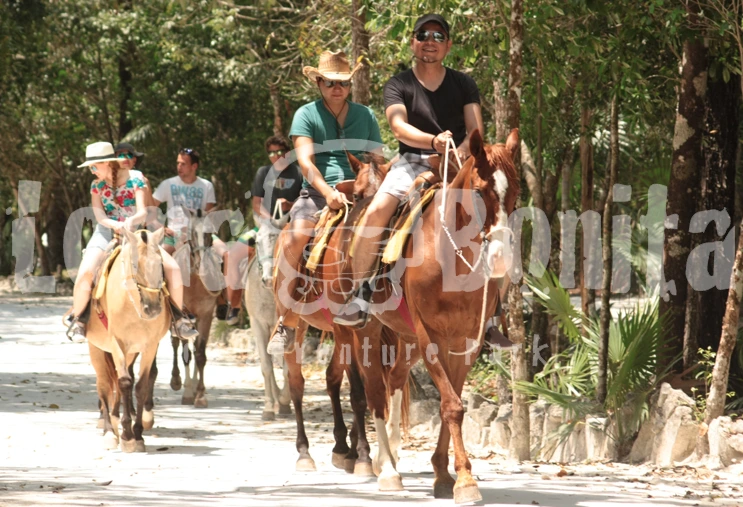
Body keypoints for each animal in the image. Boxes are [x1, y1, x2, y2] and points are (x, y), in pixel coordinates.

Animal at [86, 226, 171, 452]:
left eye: (161, 264)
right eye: (134, 265)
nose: (153, 308)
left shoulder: (149, 345)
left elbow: (140, 385)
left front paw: (138, 434)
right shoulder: (117, 342)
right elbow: (124, 382)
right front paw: (126, 435)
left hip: (131, 352)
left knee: (117, 379)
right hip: (97, 348)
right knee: (104, 383)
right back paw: (109, 430)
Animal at [170, 210, 222, 408]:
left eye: (209, 234)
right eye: (191, 234)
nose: (202, 265)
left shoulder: (206, 315)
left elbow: (200, 354)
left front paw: (200, 395)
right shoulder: (182, 315)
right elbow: (185, 353)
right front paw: (187, 392)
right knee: (176, 344)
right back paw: (178, 382)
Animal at [364, 130, 520, 504]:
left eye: (517, 193)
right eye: (479, 191)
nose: (500, 257)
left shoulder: (466, 341)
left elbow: (455, 402)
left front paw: (445, 473)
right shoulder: (429, 336)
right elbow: (451, 405)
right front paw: (464, 481)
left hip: (405, 340)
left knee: (394, 382)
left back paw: (390, 456)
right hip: (367, 333)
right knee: (374, 394)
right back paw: (386, 469)